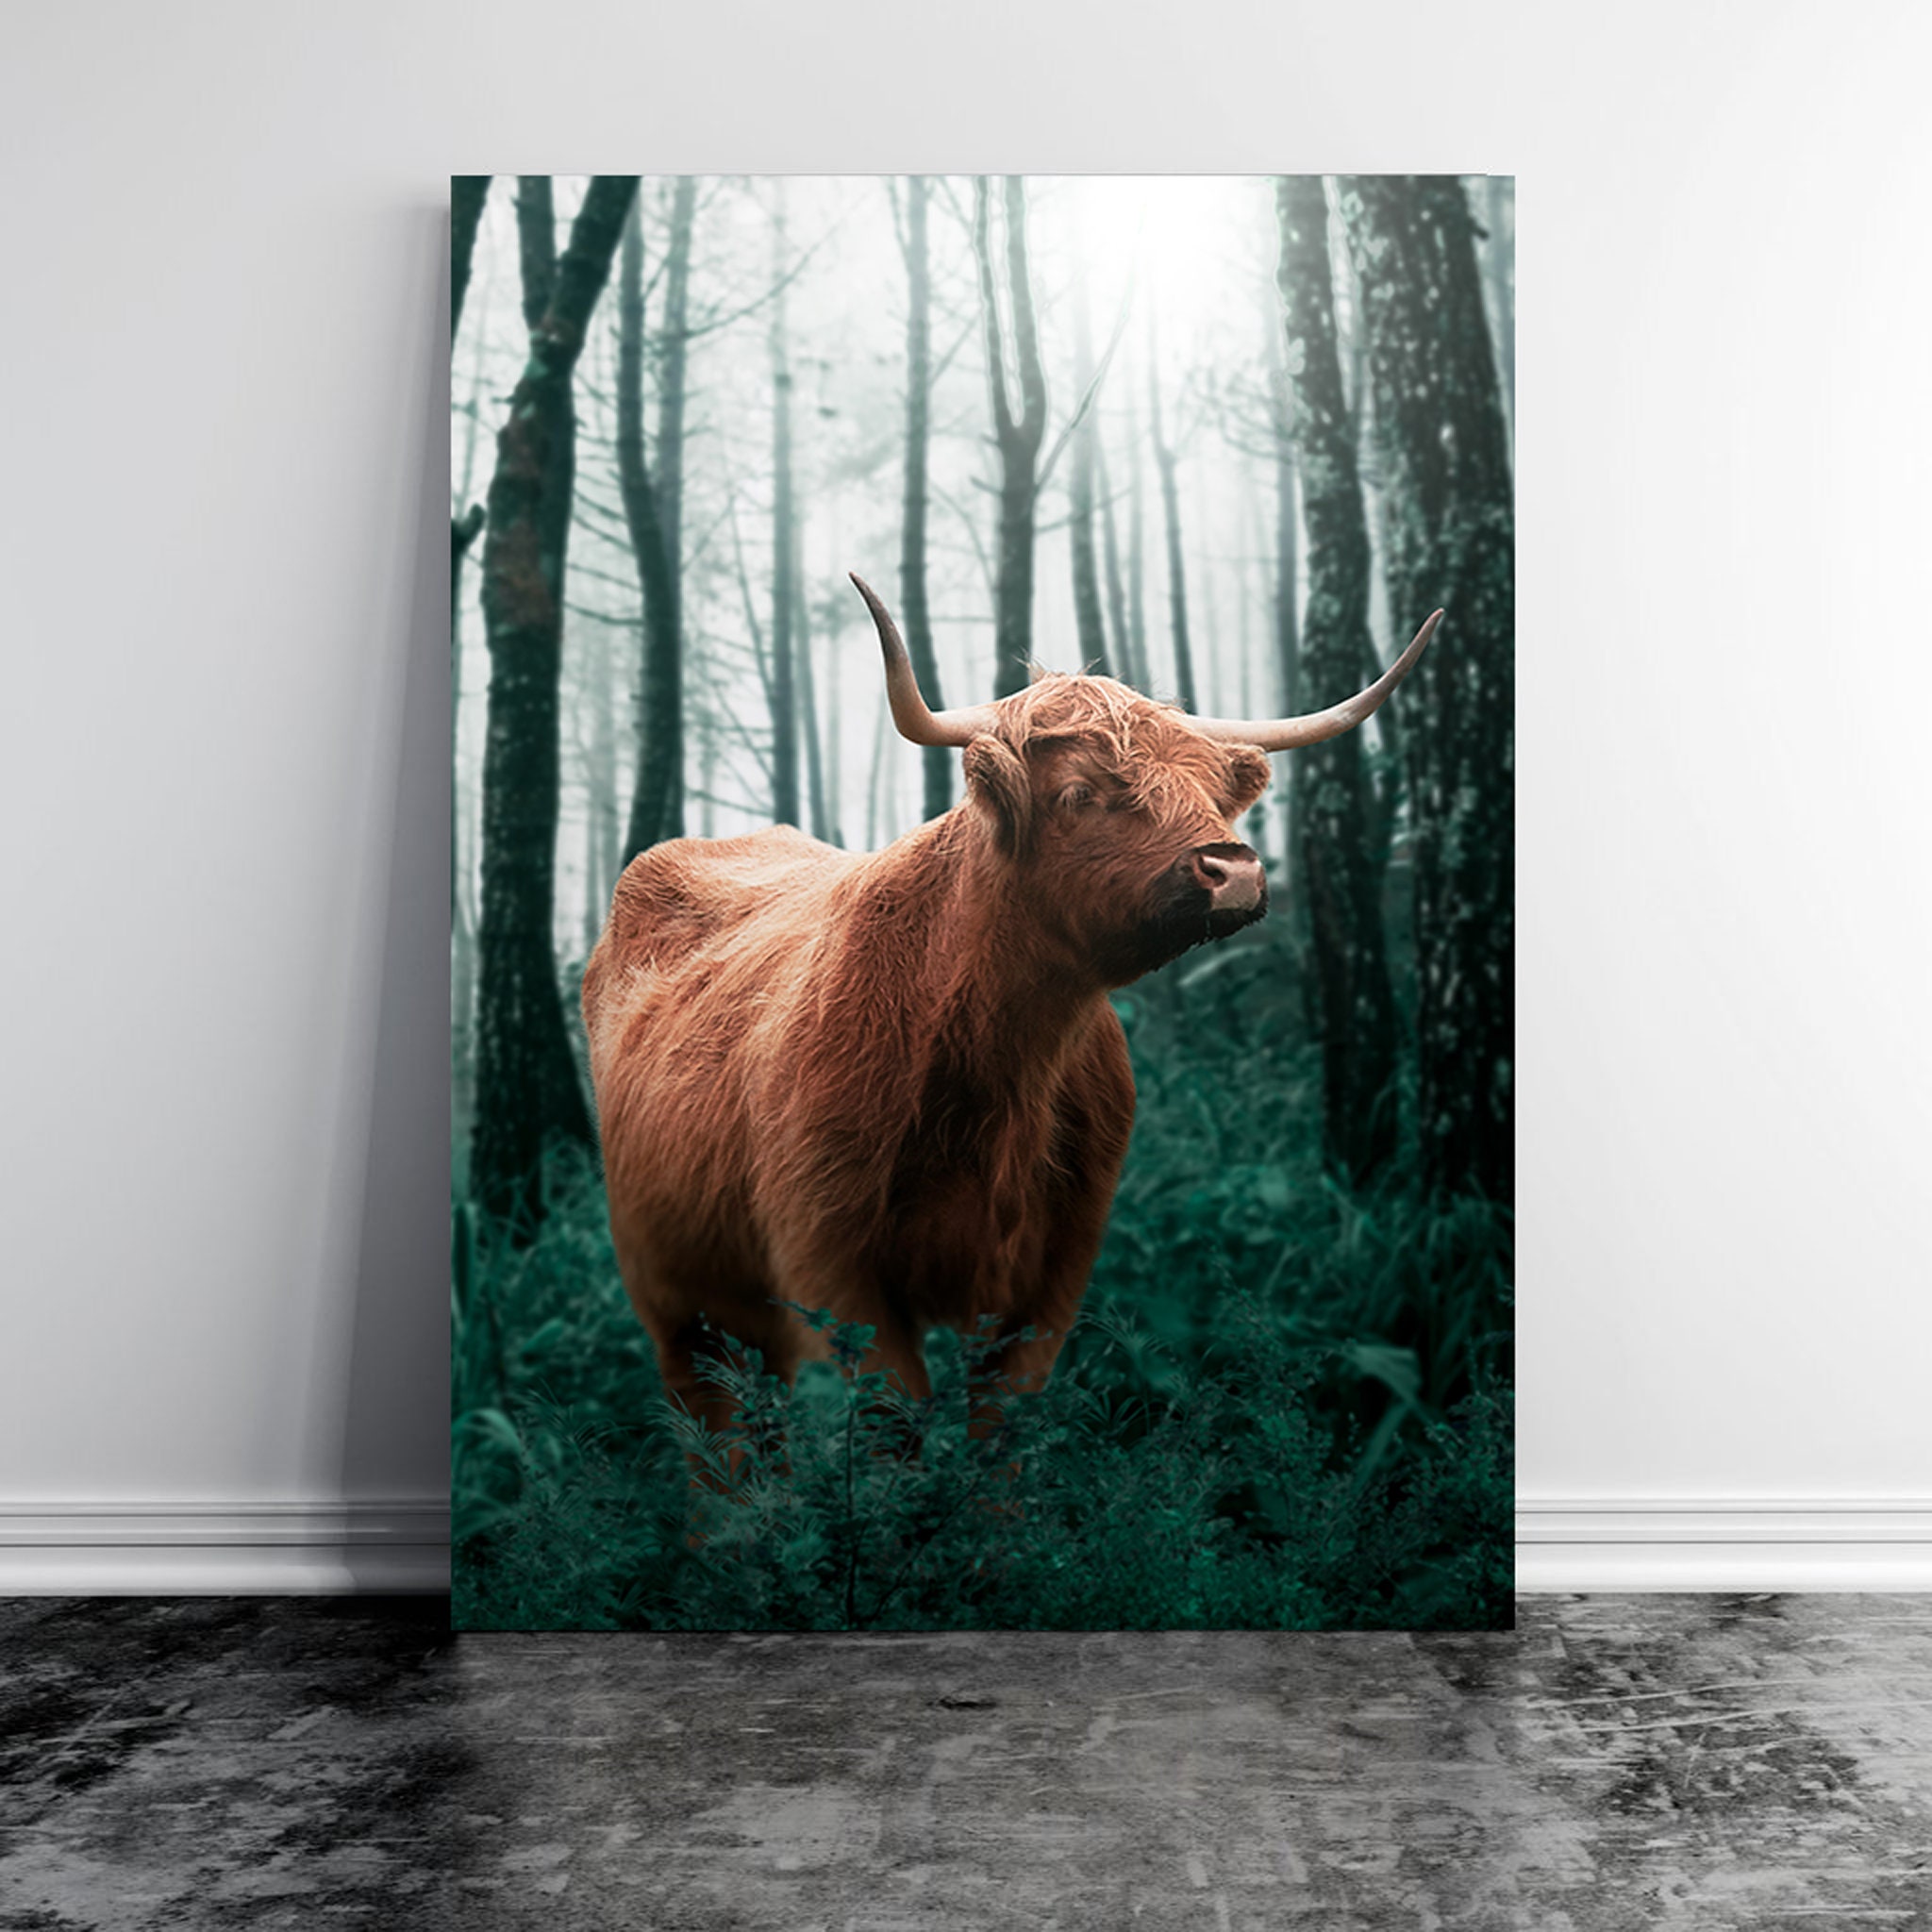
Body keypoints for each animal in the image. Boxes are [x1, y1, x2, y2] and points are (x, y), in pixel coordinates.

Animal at [582, 575, 1439, 1435]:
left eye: (1209, 790)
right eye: (1079, 791)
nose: (1233, 870)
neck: (996, 1066)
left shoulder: (1053, 1273)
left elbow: (1002, 1432)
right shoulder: (827, 1262)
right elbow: (892, 1426)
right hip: (676, 1295)